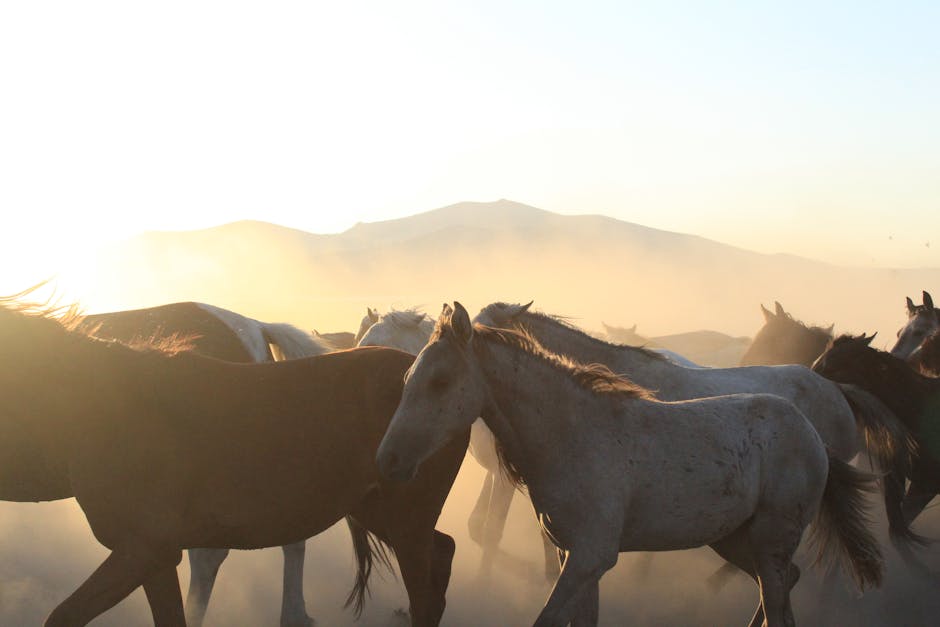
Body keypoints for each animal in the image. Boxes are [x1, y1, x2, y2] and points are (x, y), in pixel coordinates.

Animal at [0, 294, 468, 627]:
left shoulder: (144, 548)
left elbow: (64, 616)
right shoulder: (153, 556)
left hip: (405, 521)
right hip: (376, 510)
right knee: (441, 555)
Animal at [372, 304, 880, 627]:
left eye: (440, 381)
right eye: (408, 375)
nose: (387, 459)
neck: (574, 432)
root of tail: (813, 429)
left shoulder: (590, 556)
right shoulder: (577, 558)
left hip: (771, 540)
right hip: (735, 539)